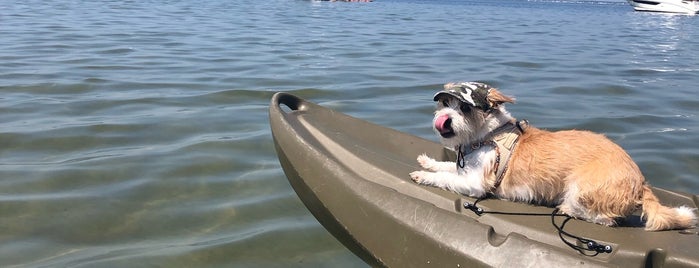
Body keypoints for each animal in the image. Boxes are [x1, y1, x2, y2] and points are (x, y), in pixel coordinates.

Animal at [408, 81, 696, 230]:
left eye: (465, 108)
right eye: (445, 103)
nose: (444, 119)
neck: (487, 134)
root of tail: (641, 183)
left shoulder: (475, 183)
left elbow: (447, 178)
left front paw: (422, 174)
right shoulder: (465, 168)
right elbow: (447, 166)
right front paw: (427, 162)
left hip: (582, 186)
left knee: (605, 219)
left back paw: (568, 207)